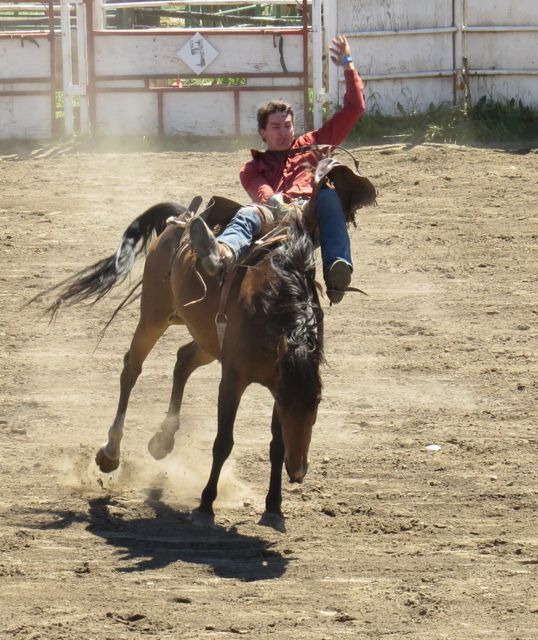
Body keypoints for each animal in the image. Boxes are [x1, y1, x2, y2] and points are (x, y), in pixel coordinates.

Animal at [38, 199, 322, 528]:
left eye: (317, 402)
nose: (298, 471)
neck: (272, 305)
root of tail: (183, 215)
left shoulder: (278, 380)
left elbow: (277, 445)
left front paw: (274, 508)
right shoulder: (233, 380)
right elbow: (223, 442)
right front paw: (205, 506)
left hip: (206, 339)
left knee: (183, 360)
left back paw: (163, 439)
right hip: (154, 315)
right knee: (132, 368)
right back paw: (111, 452)